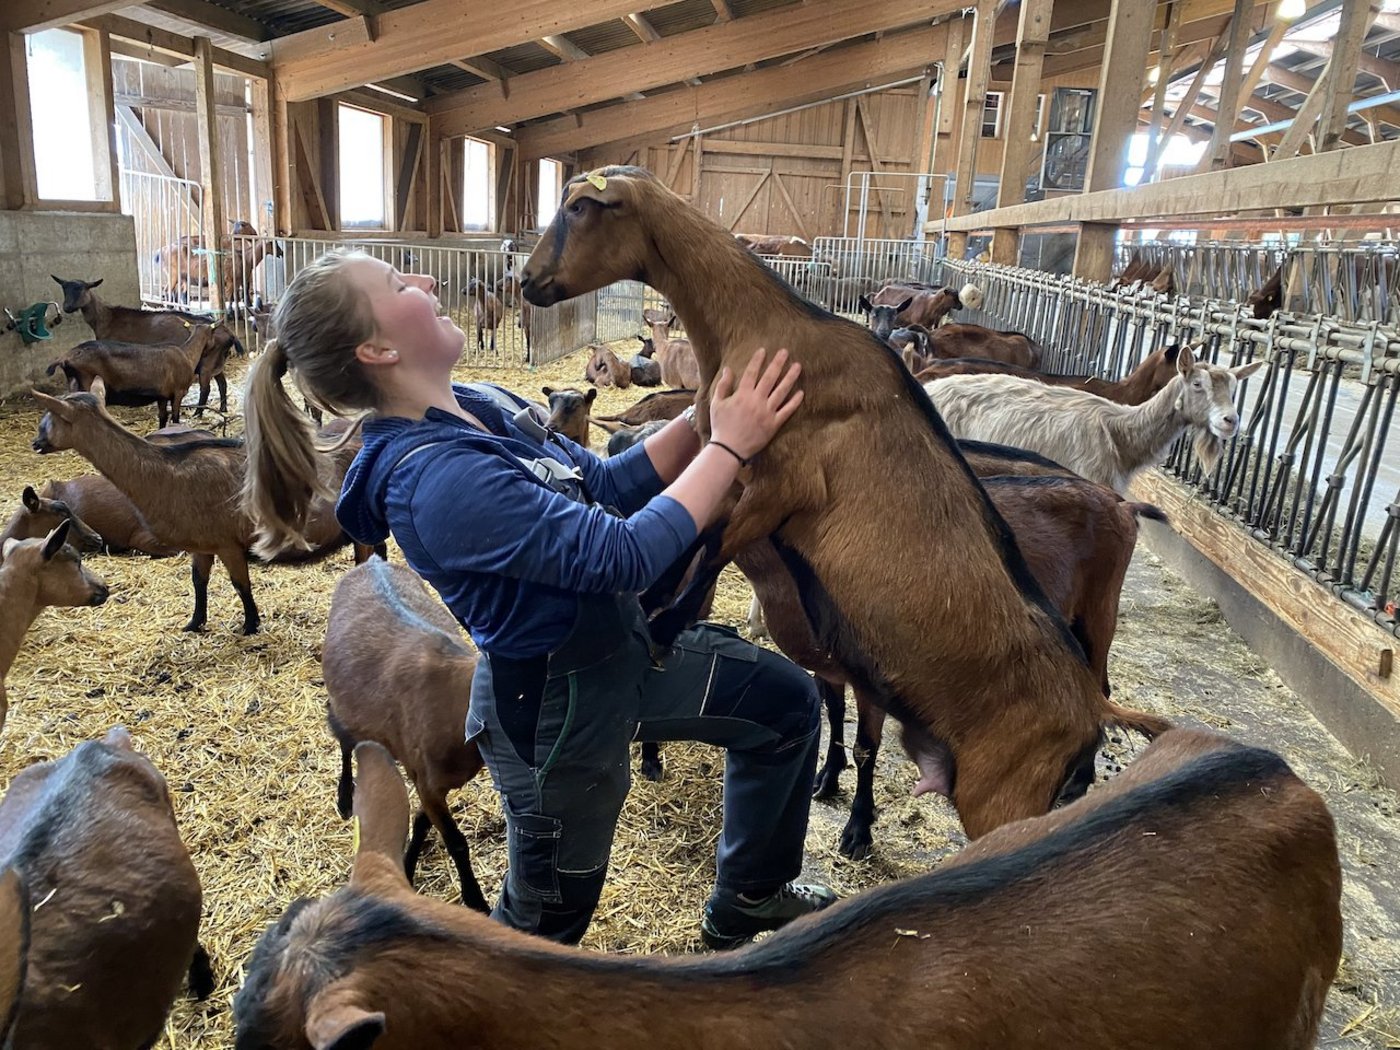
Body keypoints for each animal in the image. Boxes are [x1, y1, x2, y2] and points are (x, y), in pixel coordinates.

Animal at [31, 381, 261, 634]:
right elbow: (198, 581)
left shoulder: (228, 543)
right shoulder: (202, 543)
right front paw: (193, 624)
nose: (36, 443)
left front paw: (250, 626)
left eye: (51, 417)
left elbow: (241, 584)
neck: (168, 473)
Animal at [45, 325, 220, 428]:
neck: (187, 354)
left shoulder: (162, 396)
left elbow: (163, 417)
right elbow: (175, 418)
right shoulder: (178, 393)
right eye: (212, 334)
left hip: (73, 383)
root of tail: (66, 357)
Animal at [323, 559, 488, 911]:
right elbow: (456, 841)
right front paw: (476, 900)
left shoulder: (426, 780)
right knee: (344, 739)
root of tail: (373, 562)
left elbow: (421, 823)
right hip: (344, 706)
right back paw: (345, 797)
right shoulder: (428, 780)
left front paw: (407, 868)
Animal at [521, 166, 1169, 839]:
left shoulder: (782, 486)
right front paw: (654, 607)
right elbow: (695, 540)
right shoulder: (731, 472)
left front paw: (660, 629)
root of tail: (1092, 708)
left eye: (581, 207)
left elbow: (714, 546)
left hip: (1010, 788)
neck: (768, 338)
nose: (525, 281)